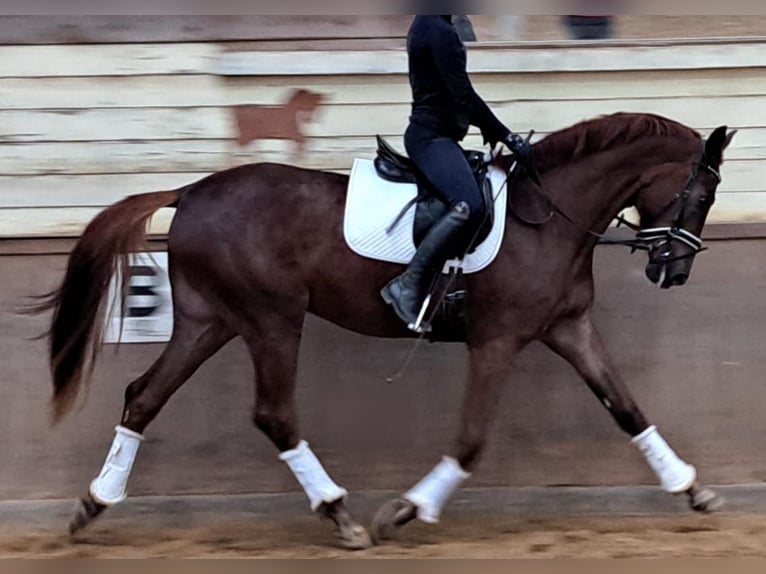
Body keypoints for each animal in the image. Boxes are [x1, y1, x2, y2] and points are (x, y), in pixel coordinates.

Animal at [36, 112, 736, 548]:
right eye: (702, 195)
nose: (673, 271)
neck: (549, 215)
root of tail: (190, 192)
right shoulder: (497, 341)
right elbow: (472, 440)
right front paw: (406, 510)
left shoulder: (568, 327)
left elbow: (626, 407)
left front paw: (691, 487)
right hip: (270, 318)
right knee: (273, 414)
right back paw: (339, 515)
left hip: (213, 321)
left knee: (144, 396)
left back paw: (94, 502)